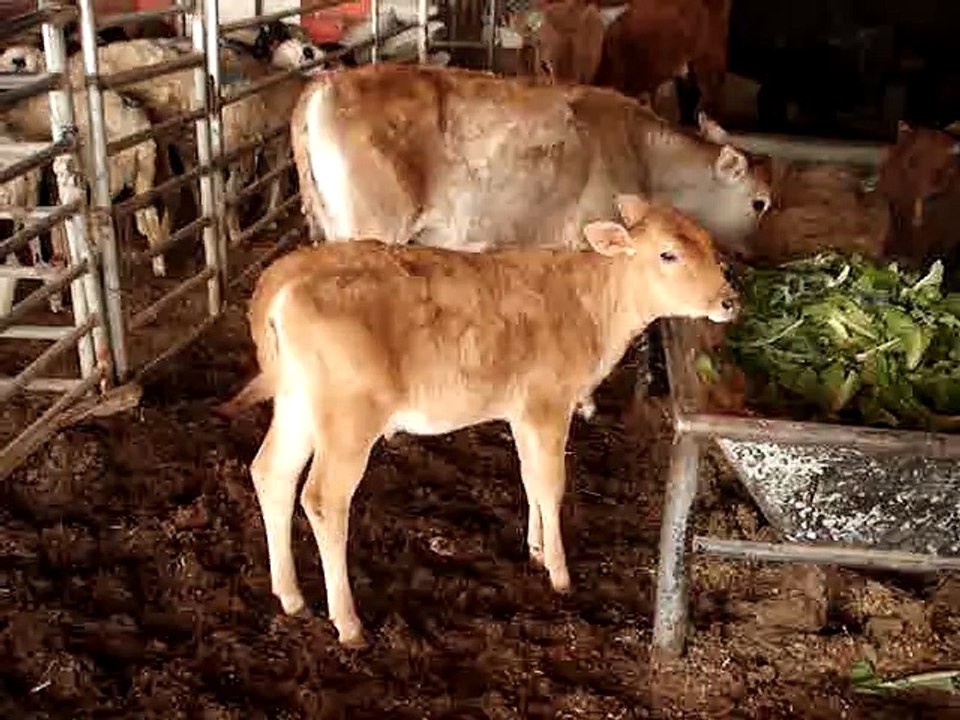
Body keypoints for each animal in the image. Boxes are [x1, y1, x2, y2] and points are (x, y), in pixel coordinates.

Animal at [220, 195, 740, 646]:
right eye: (668, 254)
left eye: (708, 242)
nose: (729, 300)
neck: (591, 306)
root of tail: (284, 276)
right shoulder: (548, 405)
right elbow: (552, 484)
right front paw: (560, 574)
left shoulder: (522, 412)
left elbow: (530, 478)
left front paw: (534, 550)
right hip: (349, 418)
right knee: (323, 499)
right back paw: (348, 624)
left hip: (296, 403)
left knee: (272, 473)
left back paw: (290, 597)